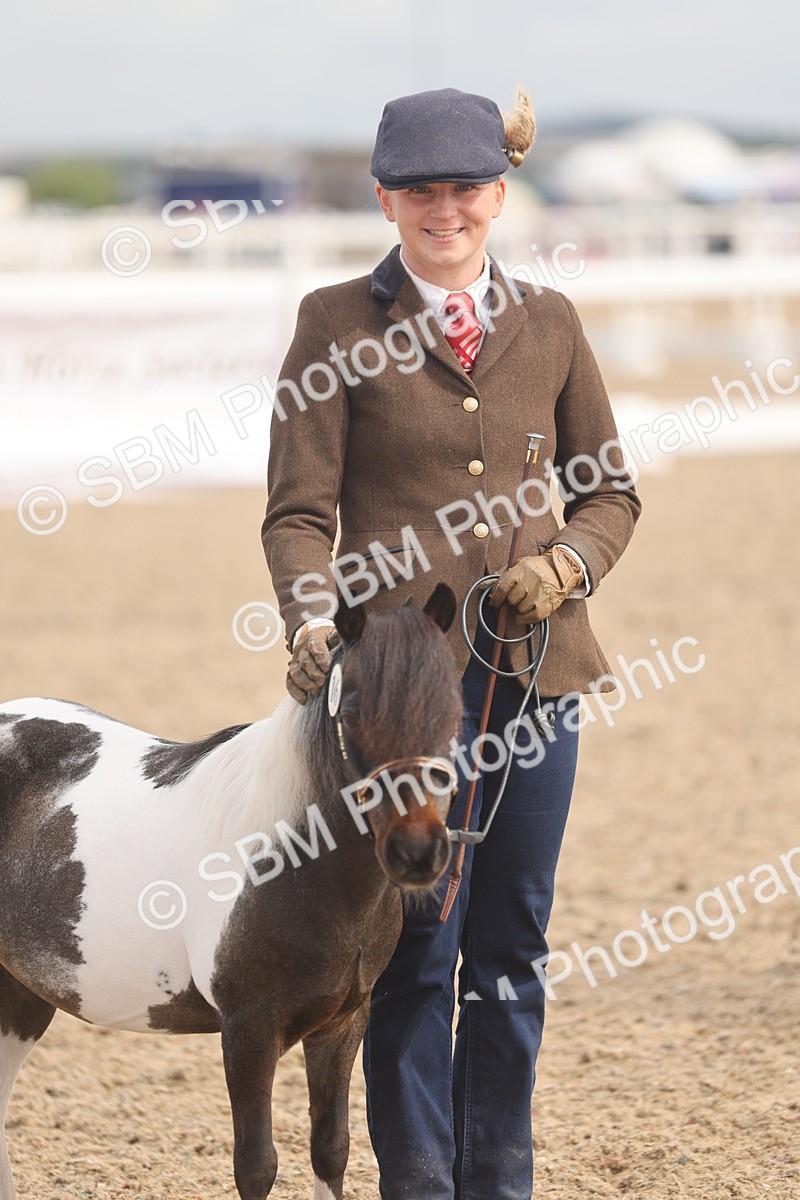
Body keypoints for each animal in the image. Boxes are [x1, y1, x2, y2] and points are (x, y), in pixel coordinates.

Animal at [0, 582, 464, 1200]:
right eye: (354, 709)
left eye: (453, 706)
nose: (417, 852)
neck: (291, 858)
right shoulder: (248, 1029)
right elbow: (256, 1165)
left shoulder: (343, 1023)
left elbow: (331, 1148)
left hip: (22, 993)